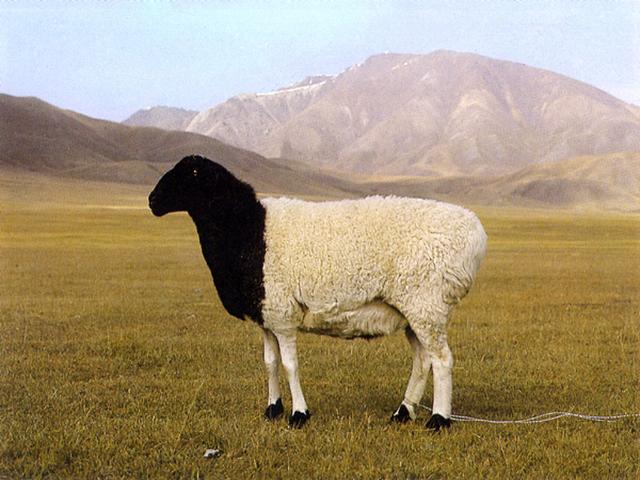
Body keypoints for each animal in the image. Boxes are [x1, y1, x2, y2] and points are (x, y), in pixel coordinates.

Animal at [148, 155, 487, 430]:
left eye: (191, 173)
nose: (151, 201)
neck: (247, 228)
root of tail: (476, 233)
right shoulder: (267, 316)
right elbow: (270, 363)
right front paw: (272, 409)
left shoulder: (284, 317)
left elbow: (290, 365)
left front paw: (299, 414)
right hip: (413, 310)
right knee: (422, 360)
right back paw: (403, 413)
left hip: (427, 305)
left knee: (442, 360)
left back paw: (439, 419)